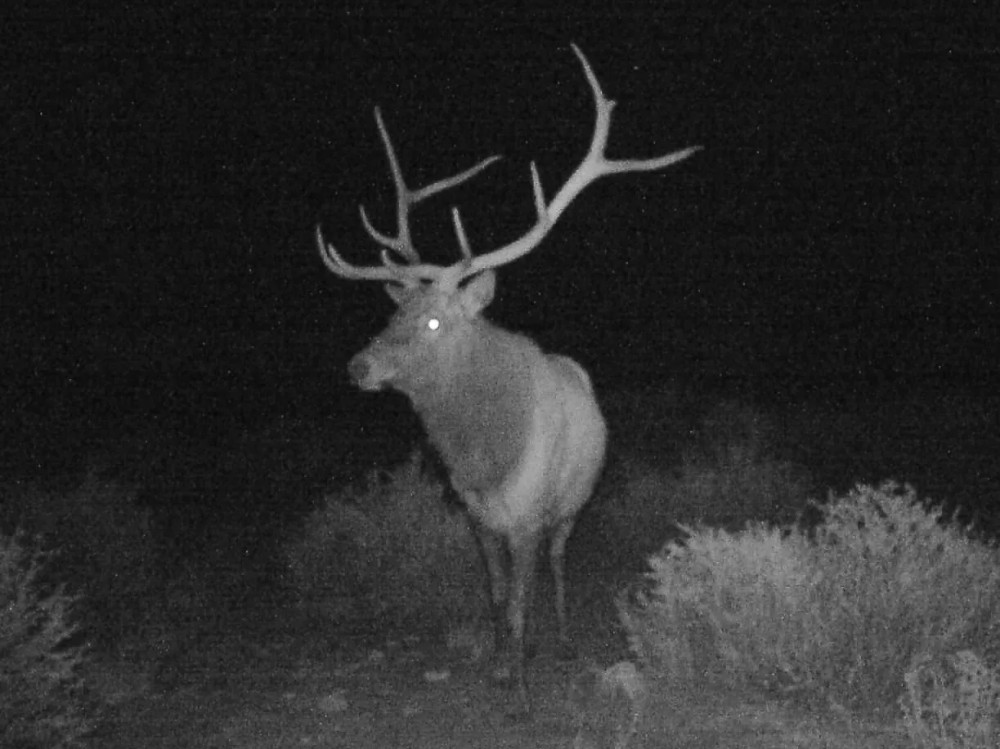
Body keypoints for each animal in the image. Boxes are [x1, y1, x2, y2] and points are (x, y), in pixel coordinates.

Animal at [315, 44, 699, 717]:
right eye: (392, 314)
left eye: (434, 319)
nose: (358, 367)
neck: (482, 455)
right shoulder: (479, 518)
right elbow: (498, 597)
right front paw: (500, 668)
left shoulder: (525, 513)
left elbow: (521, 598)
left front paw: (519, 692)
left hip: (570, 502)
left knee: (558, 562)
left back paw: (563, 642)